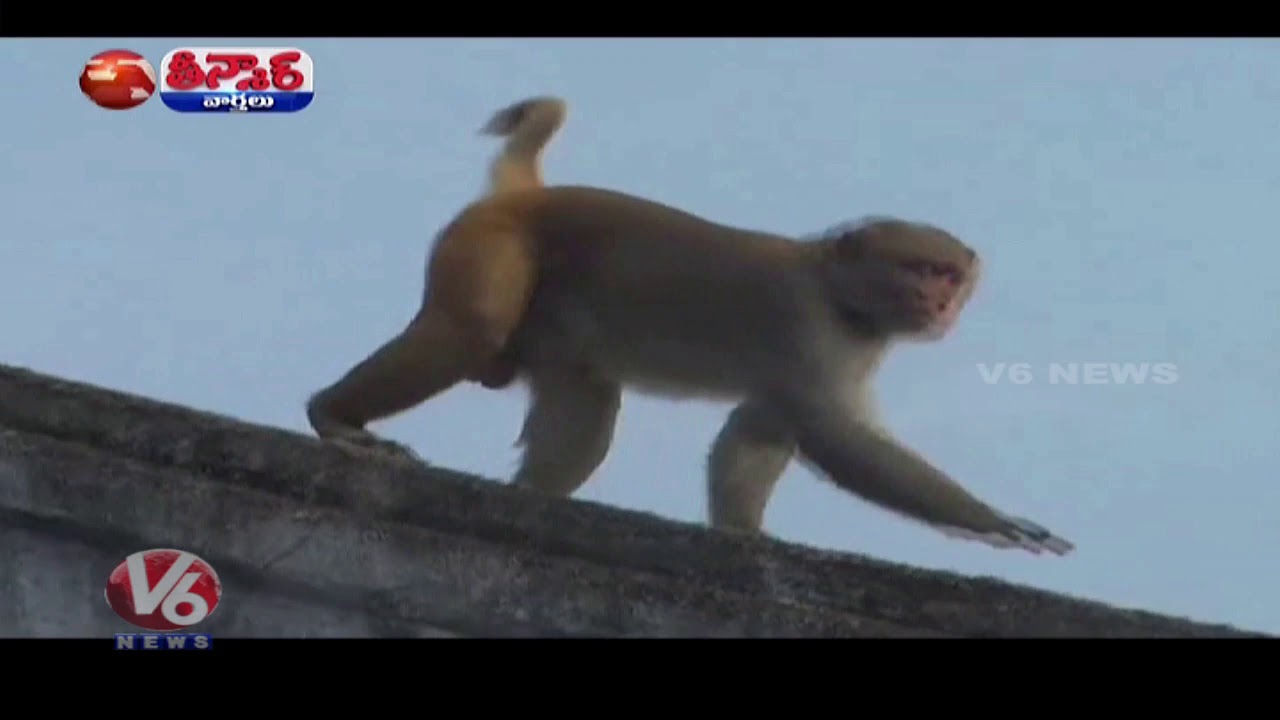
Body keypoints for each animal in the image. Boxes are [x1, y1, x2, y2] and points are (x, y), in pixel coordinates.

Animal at [305, 185, 1075, 556]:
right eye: (919, 269)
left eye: (950, 275)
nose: (940, 300)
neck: (839, 292)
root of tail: (501, 201)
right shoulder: (809, 328)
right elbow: (831, 434)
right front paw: (991, 522)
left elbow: (761, 426)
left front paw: (742, 533)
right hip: (489, 243)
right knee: (473, 330)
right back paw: (332, 417)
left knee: (587, 407)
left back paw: (532, 496)